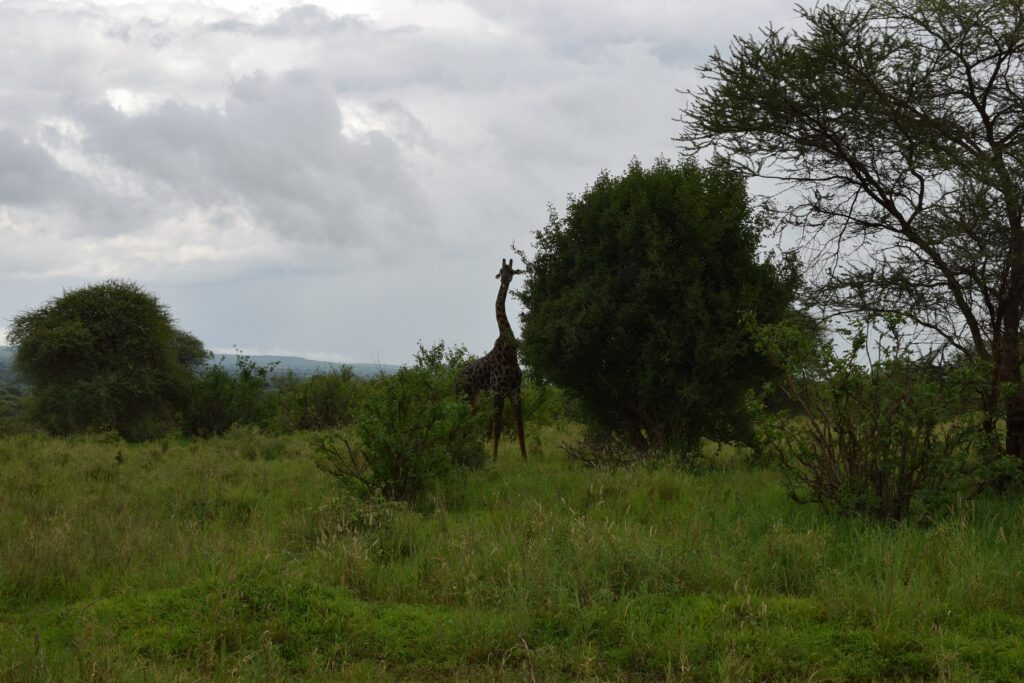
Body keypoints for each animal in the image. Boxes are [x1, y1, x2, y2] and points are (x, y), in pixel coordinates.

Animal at [455, 258, 527, 461]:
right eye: (500, 270)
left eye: (512, 271)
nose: (504, 281)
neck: (509, 349)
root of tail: (456, 377)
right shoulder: (497, 392)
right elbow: (497, 427)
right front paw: (494, 460)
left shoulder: (515, 391)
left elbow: (519, 427)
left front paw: (525, 459)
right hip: (463, 394)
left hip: (474, 395)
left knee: (471, 415)